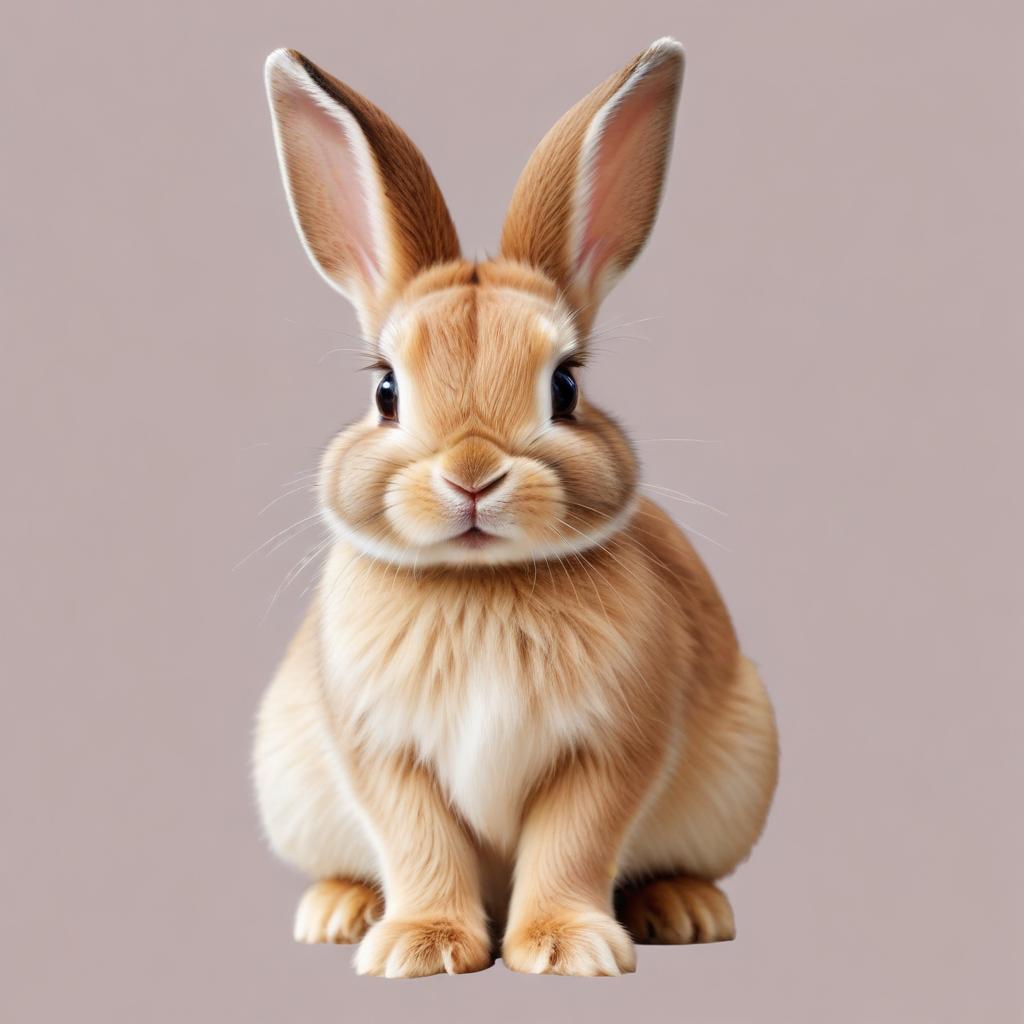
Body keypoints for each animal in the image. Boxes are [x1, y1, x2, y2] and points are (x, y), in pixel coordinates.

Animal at [253, 37, 779, 978]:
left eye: (566, 387)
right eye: (386, 391)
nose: (472, 475)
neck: (481, 584)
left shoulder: (609, 750)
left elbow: (573, 842)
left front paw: (568, 949)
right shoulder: (383, 754)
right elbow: (418, 840)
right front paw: (419, 949)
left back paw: (684, 909)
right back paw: (339, 912)